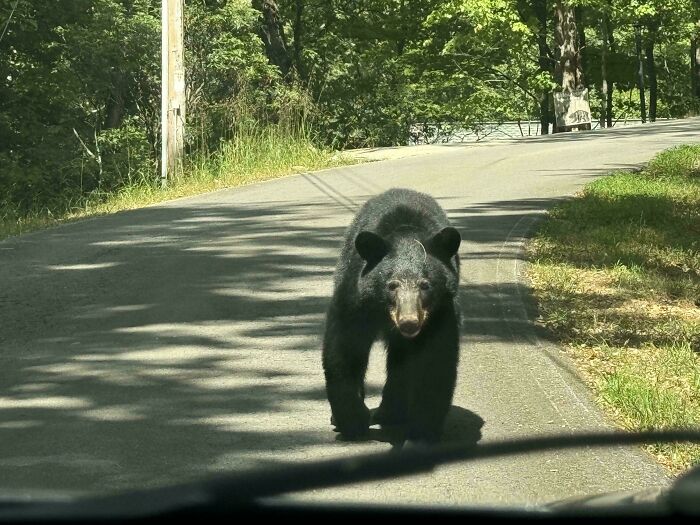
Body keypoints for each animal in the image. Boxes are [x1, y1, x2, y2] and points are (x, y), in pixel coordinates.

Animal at [322, 187, 461, 444]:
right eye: (392, 285)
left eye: (425, 285)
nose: (409, 322)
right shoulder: (354, 298)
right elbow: (345, 350)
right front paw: (352, 421)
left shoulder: (441, 311)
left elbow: (436, 358)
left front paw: (425, 428)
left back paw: (390, 413)